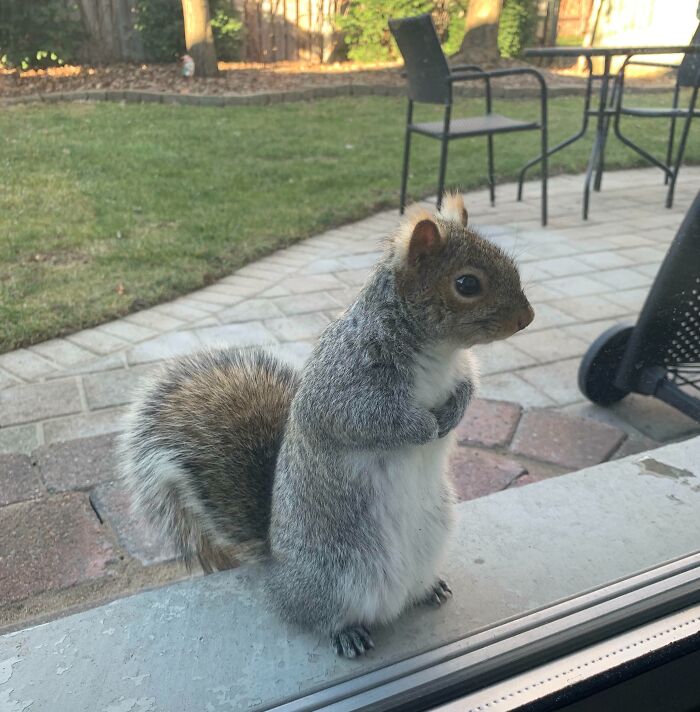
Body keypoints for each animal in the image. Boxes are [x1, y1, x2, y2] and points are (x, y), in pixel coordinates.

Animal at [120, 192, 534, 658]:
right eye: (467, 284)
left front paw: (451, 414)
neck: (439, 352)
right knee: (319, 617)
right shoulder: (343, 387)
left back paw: (428, 589)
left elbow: (468, 389)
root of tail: (278, 574)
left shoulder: (461, 371)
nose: (527, 318)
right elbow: (368, 421)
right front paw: (424, 427)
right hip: (334, 575)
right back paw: (346, 632)